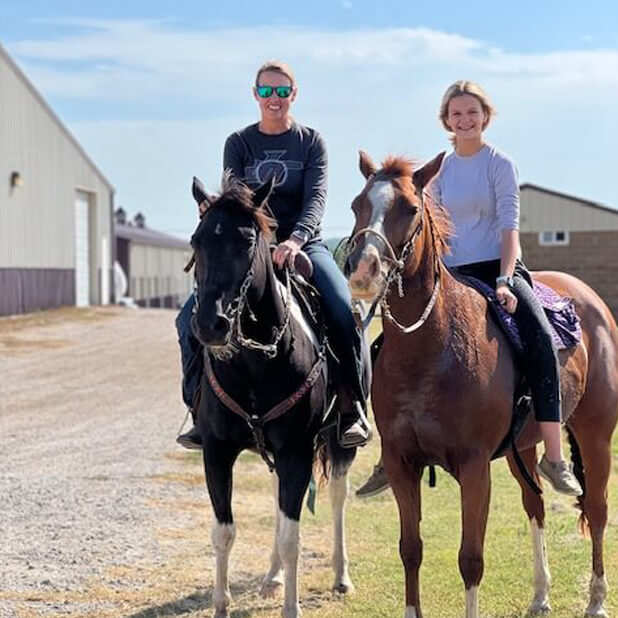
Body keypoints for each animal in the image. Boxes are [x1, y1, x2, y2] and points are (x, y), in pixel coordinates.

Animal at [188, 171, 360, 612]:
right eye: (196, 240)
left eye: (247, 241)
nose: (210, 324)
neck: (255, 363)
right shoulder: (216, 450)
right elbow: (224, 532)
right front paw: (221, 607)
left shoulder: (296, 450)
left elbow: (291, 538)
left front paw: (291, 609)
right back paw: (272, 578)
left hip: (339, 443)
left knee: (337, 496)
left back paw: (341, 576)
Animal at [344, 150, 612, 616]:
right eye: (358, 204)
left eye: (409, 208)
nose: (362, 271)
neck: (429, 350)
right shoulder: (401, 463)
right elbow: (410, 549)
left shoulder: (473, 468)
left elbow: (470, 559)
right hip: (523, 447)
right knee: (535, 505)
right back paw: (540, 595)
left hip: (595, 431)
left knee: (596, 509)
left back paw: (596, 599)